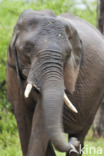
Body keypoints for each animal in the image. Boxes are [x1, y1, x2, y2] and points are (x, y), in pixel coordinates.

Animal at [6, 9, 104, 155]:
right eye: (27, 48)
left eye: (68, 53)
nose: (73, 143)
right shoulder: (12, 68)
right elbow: (23, 118)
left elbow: (41, 121)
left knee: (81, 131)